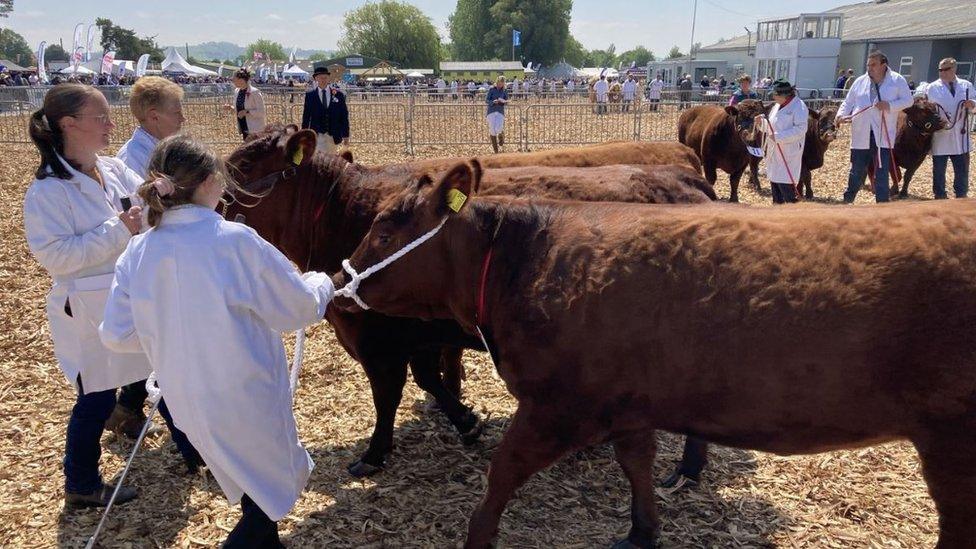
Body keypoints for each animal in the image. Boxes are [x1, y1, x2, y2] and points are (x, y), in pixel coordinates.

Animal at [221, 126, 712, 478]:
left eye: (242, 164)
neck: (342, 215)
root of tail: (684, 176)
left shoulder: (380, 342)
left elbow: (388, 397)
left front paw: (374, 454)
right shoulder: (418, 335)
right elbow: (430, 380)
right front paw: (465, 420)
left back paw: (685, 470)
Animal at [336, 168, 976, 548]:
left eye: (387, 226)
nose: (340, 282)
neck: (523, 263)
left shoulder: (557, 404)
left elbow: (504, 470)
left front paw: (478, 535)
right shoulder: (629, 404)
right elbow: (636, 464)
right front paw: (642, 531)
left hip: (953, 437)